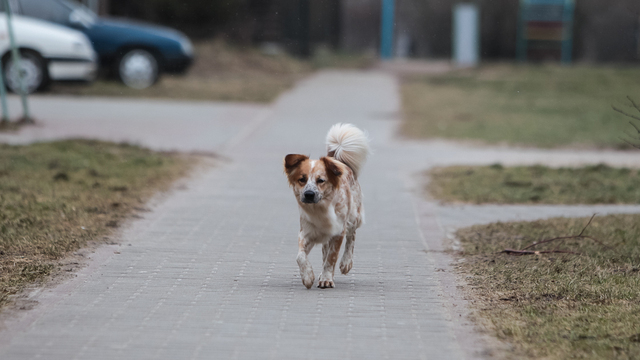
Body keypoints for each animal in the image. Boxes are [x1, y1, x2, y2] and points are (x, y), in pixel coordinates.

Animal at [284, 124, 370, 290]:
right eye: (302, 179)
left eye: (321, 180)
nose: (309, 194)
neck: (320, 209)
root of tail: (336, 159)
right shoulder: (306, 232)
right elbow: (300, 256)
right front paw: (308, 276)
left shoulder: (338, 232)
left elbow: (332, 257)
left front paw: (326, 279)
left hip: (354, 217)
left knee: (351, 237)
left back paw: (346, 262)